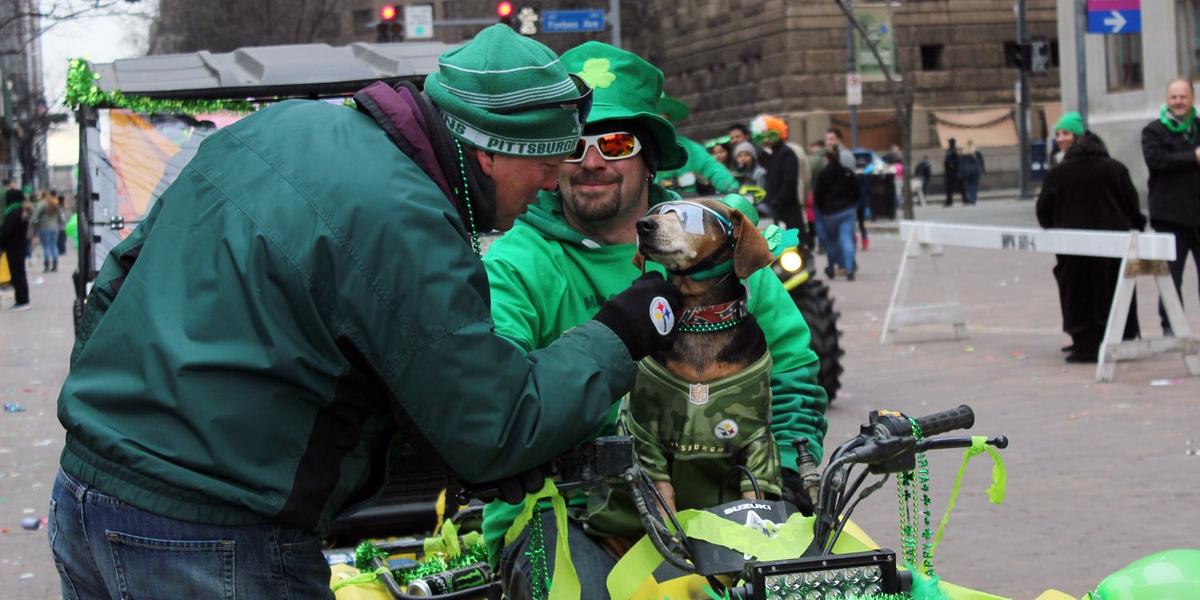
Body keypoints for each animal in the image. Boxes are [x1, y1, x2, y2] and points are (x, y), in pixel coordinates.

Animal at [624, 198, 782, 516]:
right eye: (657, 210)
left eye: (692, 217)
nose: (643, 225)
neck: (700, 320)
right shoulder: (646, 434)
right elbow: (663, 497)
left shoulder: (757, 440)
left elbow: (755, 492)